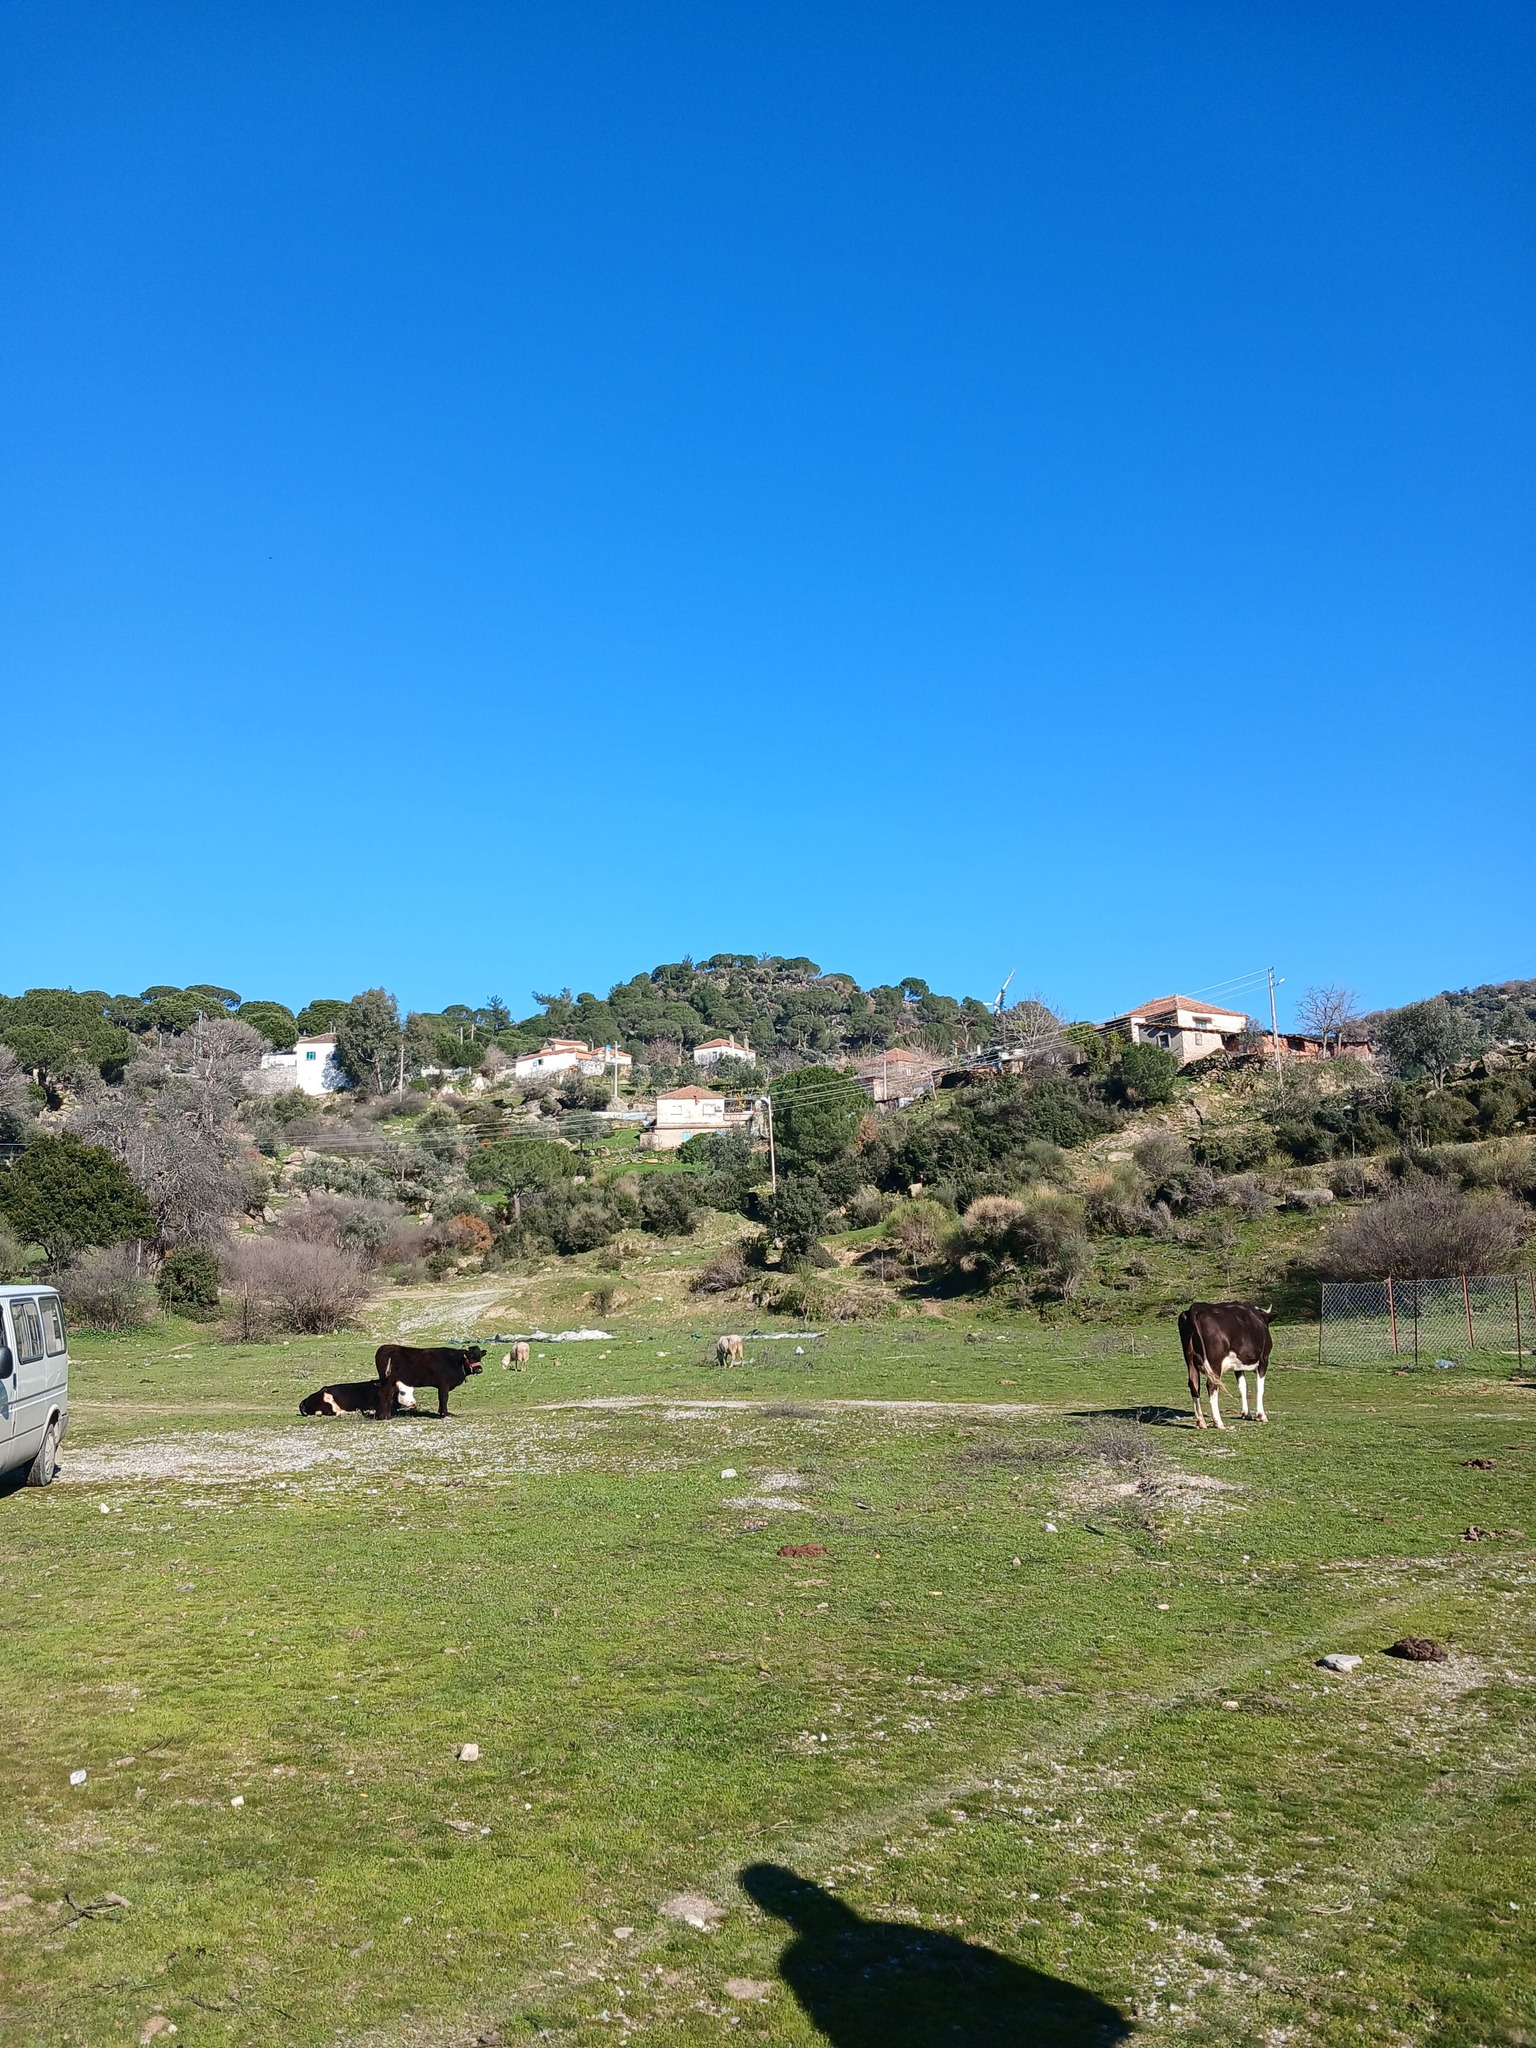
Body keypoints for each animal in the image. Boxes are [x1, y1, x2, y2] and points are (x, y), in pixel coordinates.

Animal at [1179, 1302, 1277, 1433]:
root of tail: (1196, 1307)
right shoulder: (1264, 1360)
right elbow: (1259, 1388)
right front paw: (1261, 1415)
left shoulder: (1238, 1366)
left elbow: (1242, 1386)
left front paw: (1246, 1413)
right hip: (1215, 1362)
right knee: (1211, 1385)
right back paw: (1218, 1422)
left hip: (1189, 1359)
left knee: (1194, 1384)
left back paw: (1201, 1422)